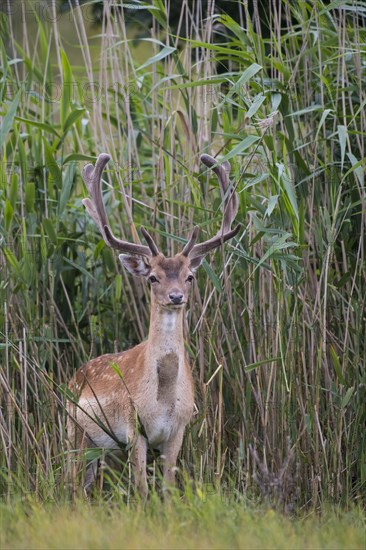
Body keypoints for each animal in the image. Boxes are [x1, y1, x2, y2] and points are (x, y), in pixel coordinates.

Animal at [67, 153, 240, 498]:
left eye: (190, 276)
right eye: (152, 278)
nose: (176, 296)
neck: (162, 402)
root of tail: (73, 376)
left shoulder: (178, 431)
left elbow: (169, 490)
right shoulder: (135, 429)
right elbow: (142, 489)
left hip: (97, 446)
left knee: (85, 485)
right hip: (74, 431)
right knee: (69, 480)